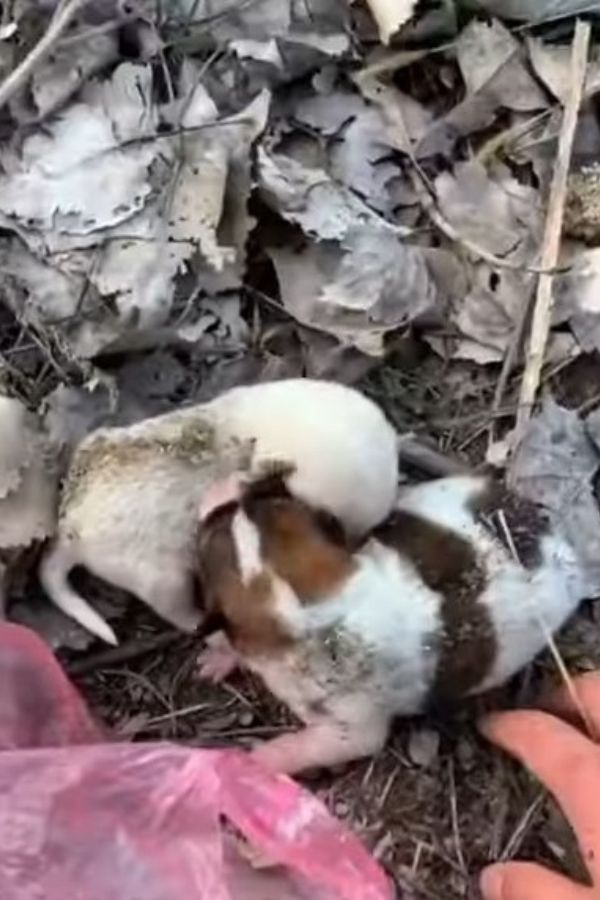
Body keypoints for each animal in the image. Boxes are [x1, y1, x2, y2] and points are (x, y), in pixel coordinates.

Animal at [198, 474, 584, 776]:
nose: (227, 492)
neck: (311, 609)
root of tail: (558, 545)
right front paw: (220, 657)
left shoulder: (351, 730)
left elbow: (313, 745)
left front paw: (261, 760)